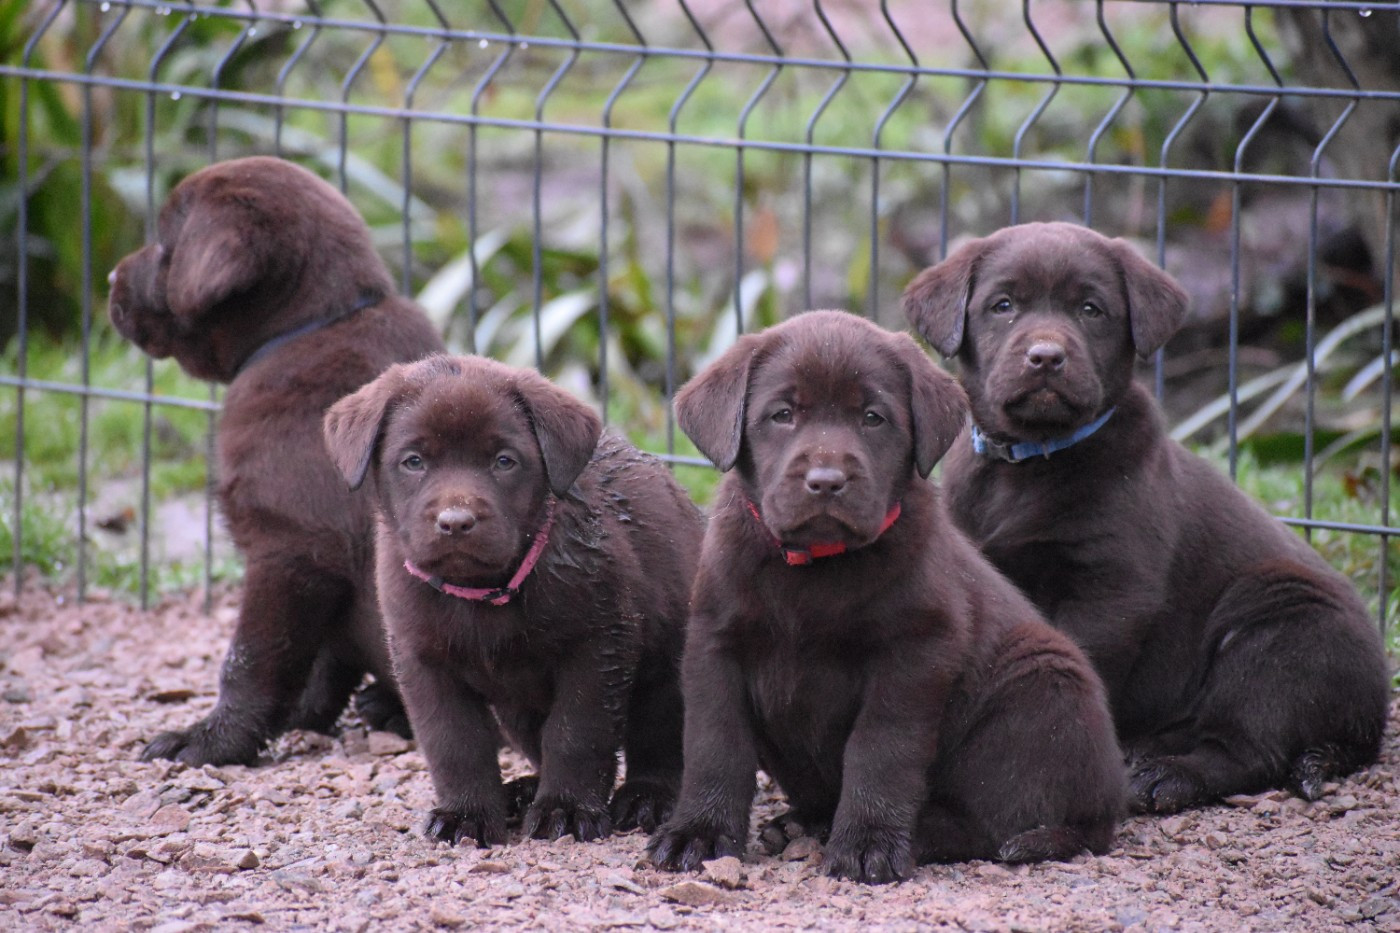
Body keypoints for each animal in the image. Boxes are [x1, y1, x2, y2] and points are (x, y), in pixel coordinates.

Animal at [108, 156, 444, 766]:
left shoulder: (292, 548)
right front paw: (304, 716)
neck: (316, 324)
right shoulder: (320, 573)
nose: (107, 281)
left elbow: (251, 659)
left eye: (166, 244)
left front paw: (212, 740)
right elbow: (318, 659)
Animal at [323, 354, 703, 846]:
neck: (484, 594)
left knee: (660, 738)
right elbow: (455, 743)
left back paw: (646, 798)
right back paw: (523, 791)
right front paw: (466, 813)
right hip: (517, 708)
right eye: (413, 461)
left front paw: (566, 808)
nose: (456, 522)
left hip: (669, 660)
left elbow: (577, 733)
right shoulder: (422, 660)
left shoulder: (599, 647)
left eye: (504, 461)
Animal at [646, 311, 1125, 884]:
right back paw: (804, 823)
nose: (825, 481)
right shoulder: (715, 644)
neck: (818, 564)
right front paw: (698, 832)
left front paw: (867, 843)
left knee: (1000, 819)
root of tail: (1106, 807)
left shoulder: (914, 653)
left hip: (1040, 691)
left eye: (873, 418)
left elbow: (880, 749)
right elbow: (714, 744)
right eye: (782, 414)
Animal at [902, 221, 1390, 814]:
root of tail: (1370, 720)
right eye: (1003, 305)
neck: (1032, 459)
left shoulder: (1111, 589)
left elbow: (1078, 662)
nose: (1046, 357)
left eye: (1091, 309)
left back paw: (1165, 776)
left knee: (1249, 747)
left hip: (1278, 629)